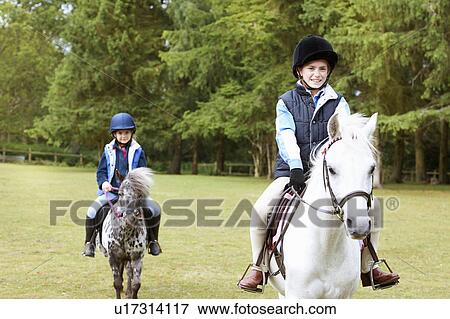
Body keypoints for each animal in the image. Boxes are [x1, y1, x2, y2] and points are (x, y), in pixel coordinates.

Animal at [268, 112, 378, 300]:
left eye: (372, 169)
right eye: (332, 169)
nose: (359, 225)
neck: (328, 245)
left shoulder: (344, 297)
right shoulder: (297, 296)